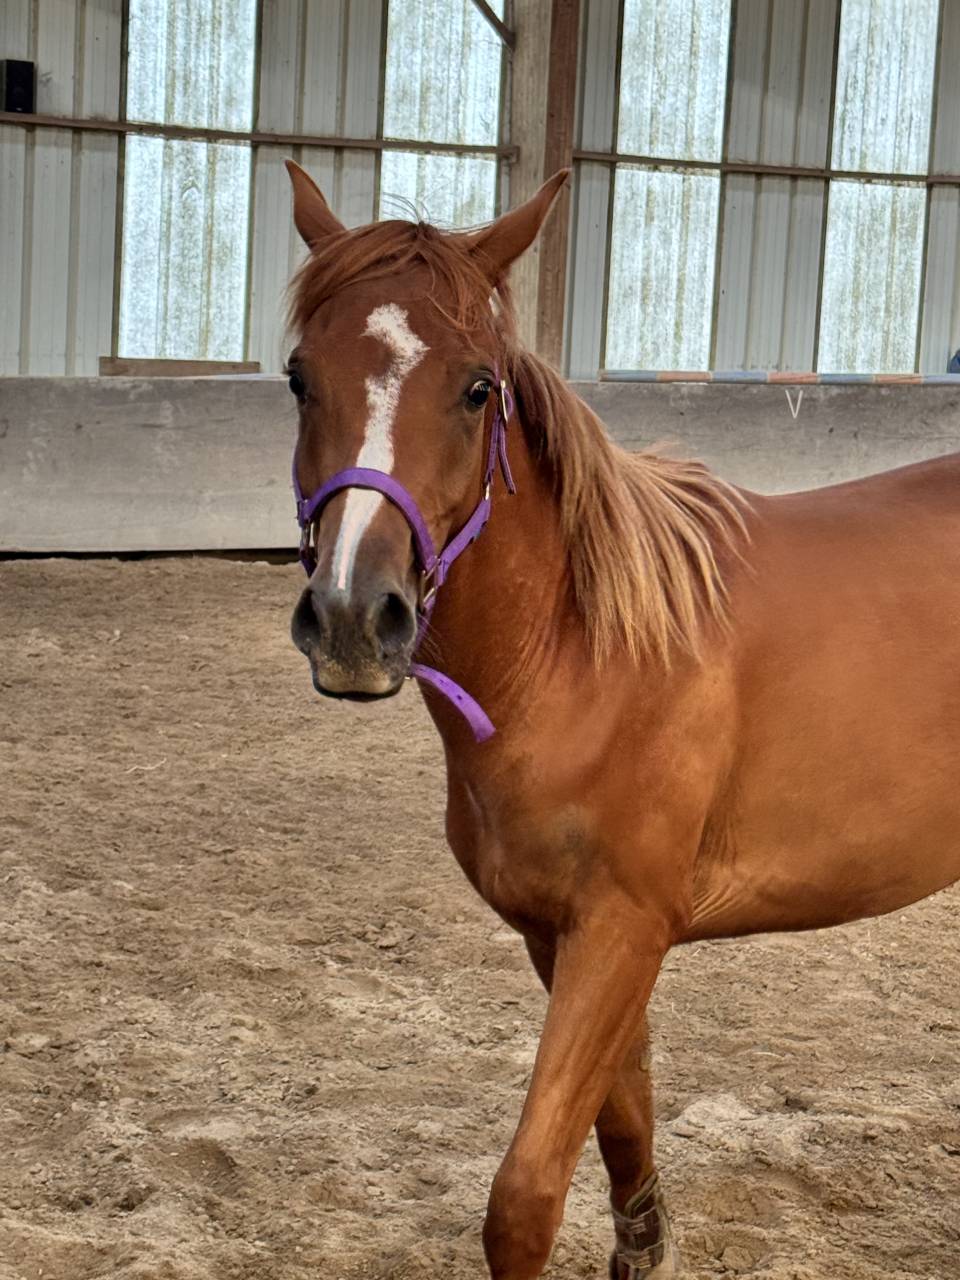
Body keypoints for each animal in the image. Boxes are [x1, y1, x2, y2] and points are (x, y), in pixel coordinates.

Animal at [279, 160, 960, 1280]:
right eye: (300, 377)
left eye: (477, 387)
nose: (351, 619)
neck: (586, 656)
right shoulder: (565, 937)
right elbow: (623, 1117)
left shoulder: (624, 926)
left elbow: (524, 1197)